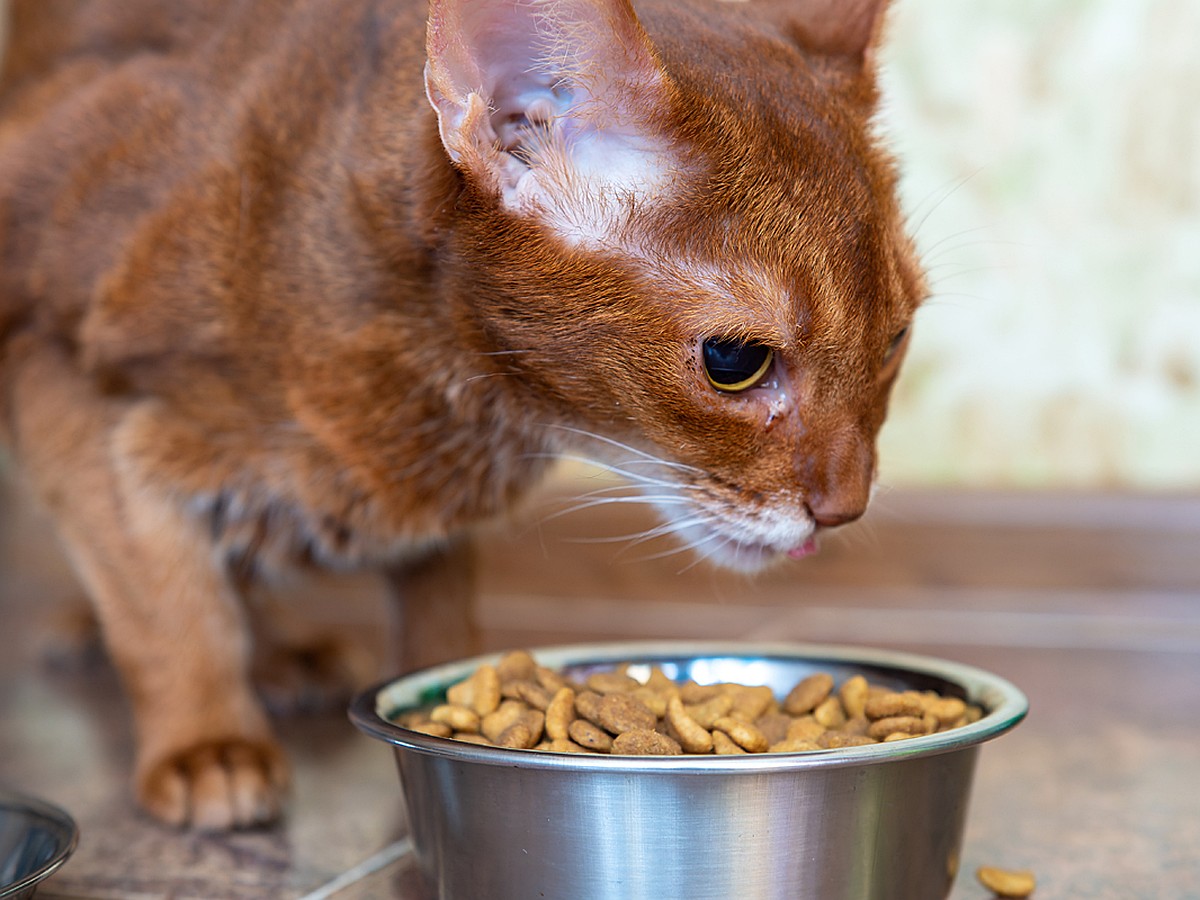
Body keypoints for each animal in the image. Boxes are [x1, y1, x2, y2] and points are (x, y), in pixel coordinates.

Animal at [0, 0, 921, 830]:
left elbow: (437, 591)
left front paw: (451, 680)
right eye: (735, 362)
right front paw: (206, 745)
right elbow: (163, 600)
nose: (846, 508)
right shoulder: (57, 364)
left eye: (895, 338)